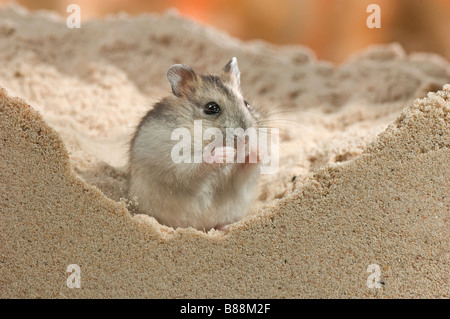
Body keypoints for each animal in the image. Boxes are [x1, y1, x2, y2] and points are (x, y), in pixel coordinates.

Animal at [130, 57, 262, 231]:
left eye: (246, 103)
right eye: (211, 107)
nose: (246, 139)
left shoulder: (241, 178)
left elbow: (245, 168)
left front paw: (257, 151)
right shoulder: (176, 160)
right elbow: (198, 162)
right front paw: (225, 153)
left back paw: (226, 228)